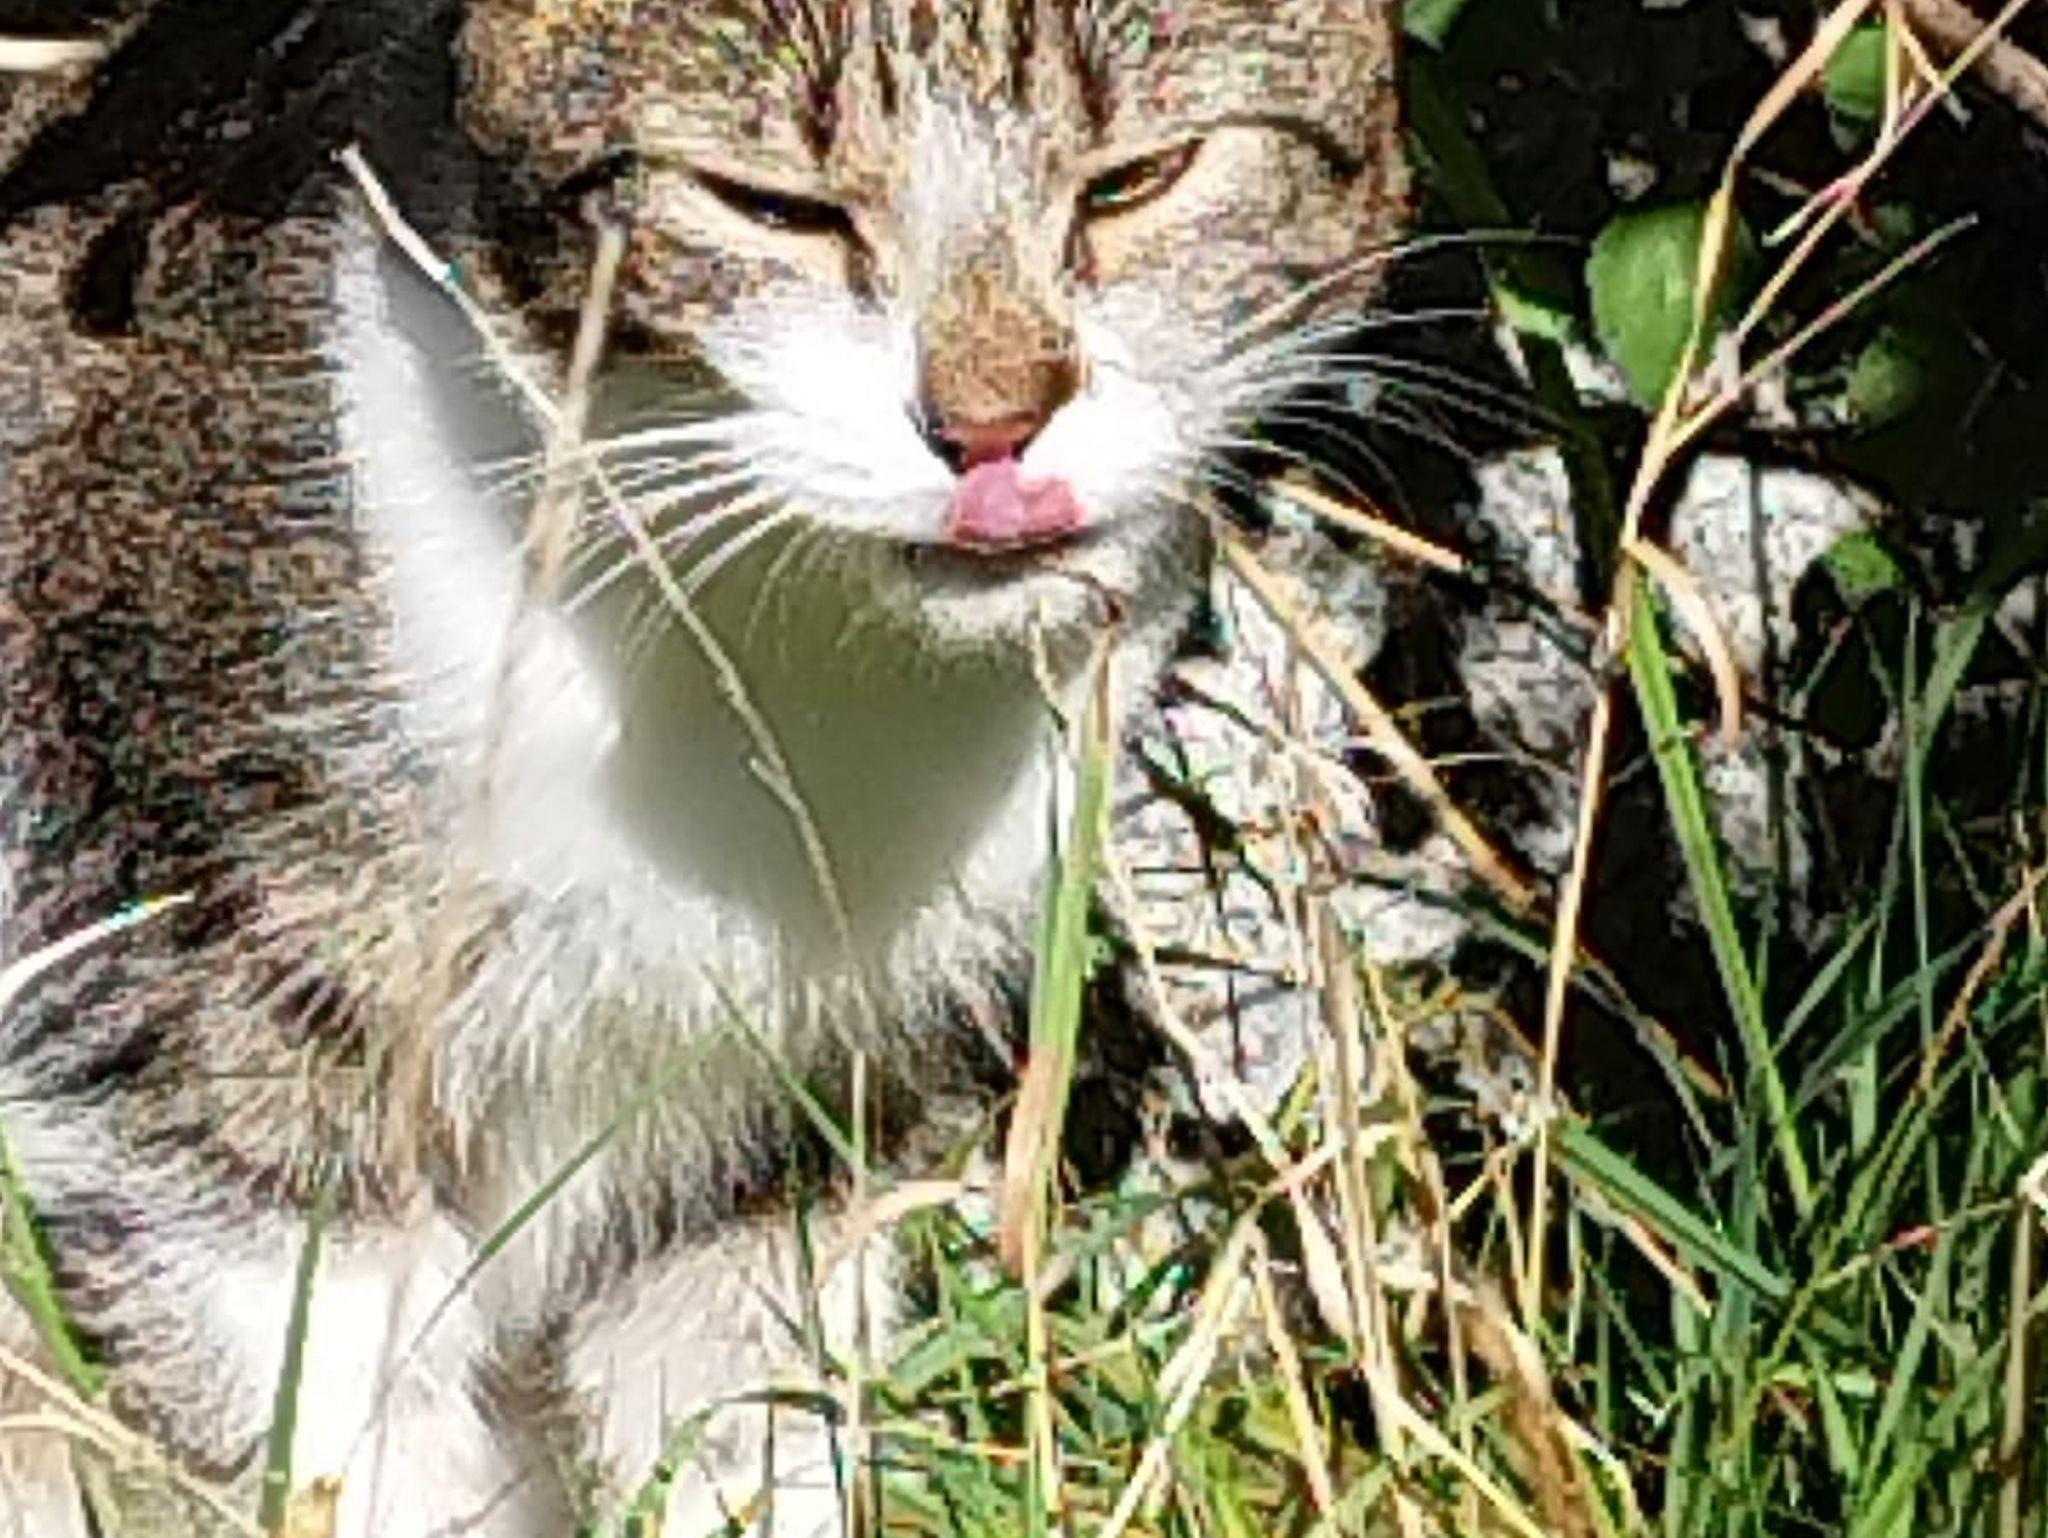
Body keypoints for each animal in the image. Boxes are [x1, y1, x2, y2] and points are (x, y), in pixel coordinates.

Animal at [0, 2, 1406, 1532]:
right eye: (771, 208)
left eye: (1135, 181)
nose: (991, 425)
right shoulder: (176, 1038)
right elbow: (318, 1419)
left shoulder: (793, 1128)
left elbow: (747, 1423)